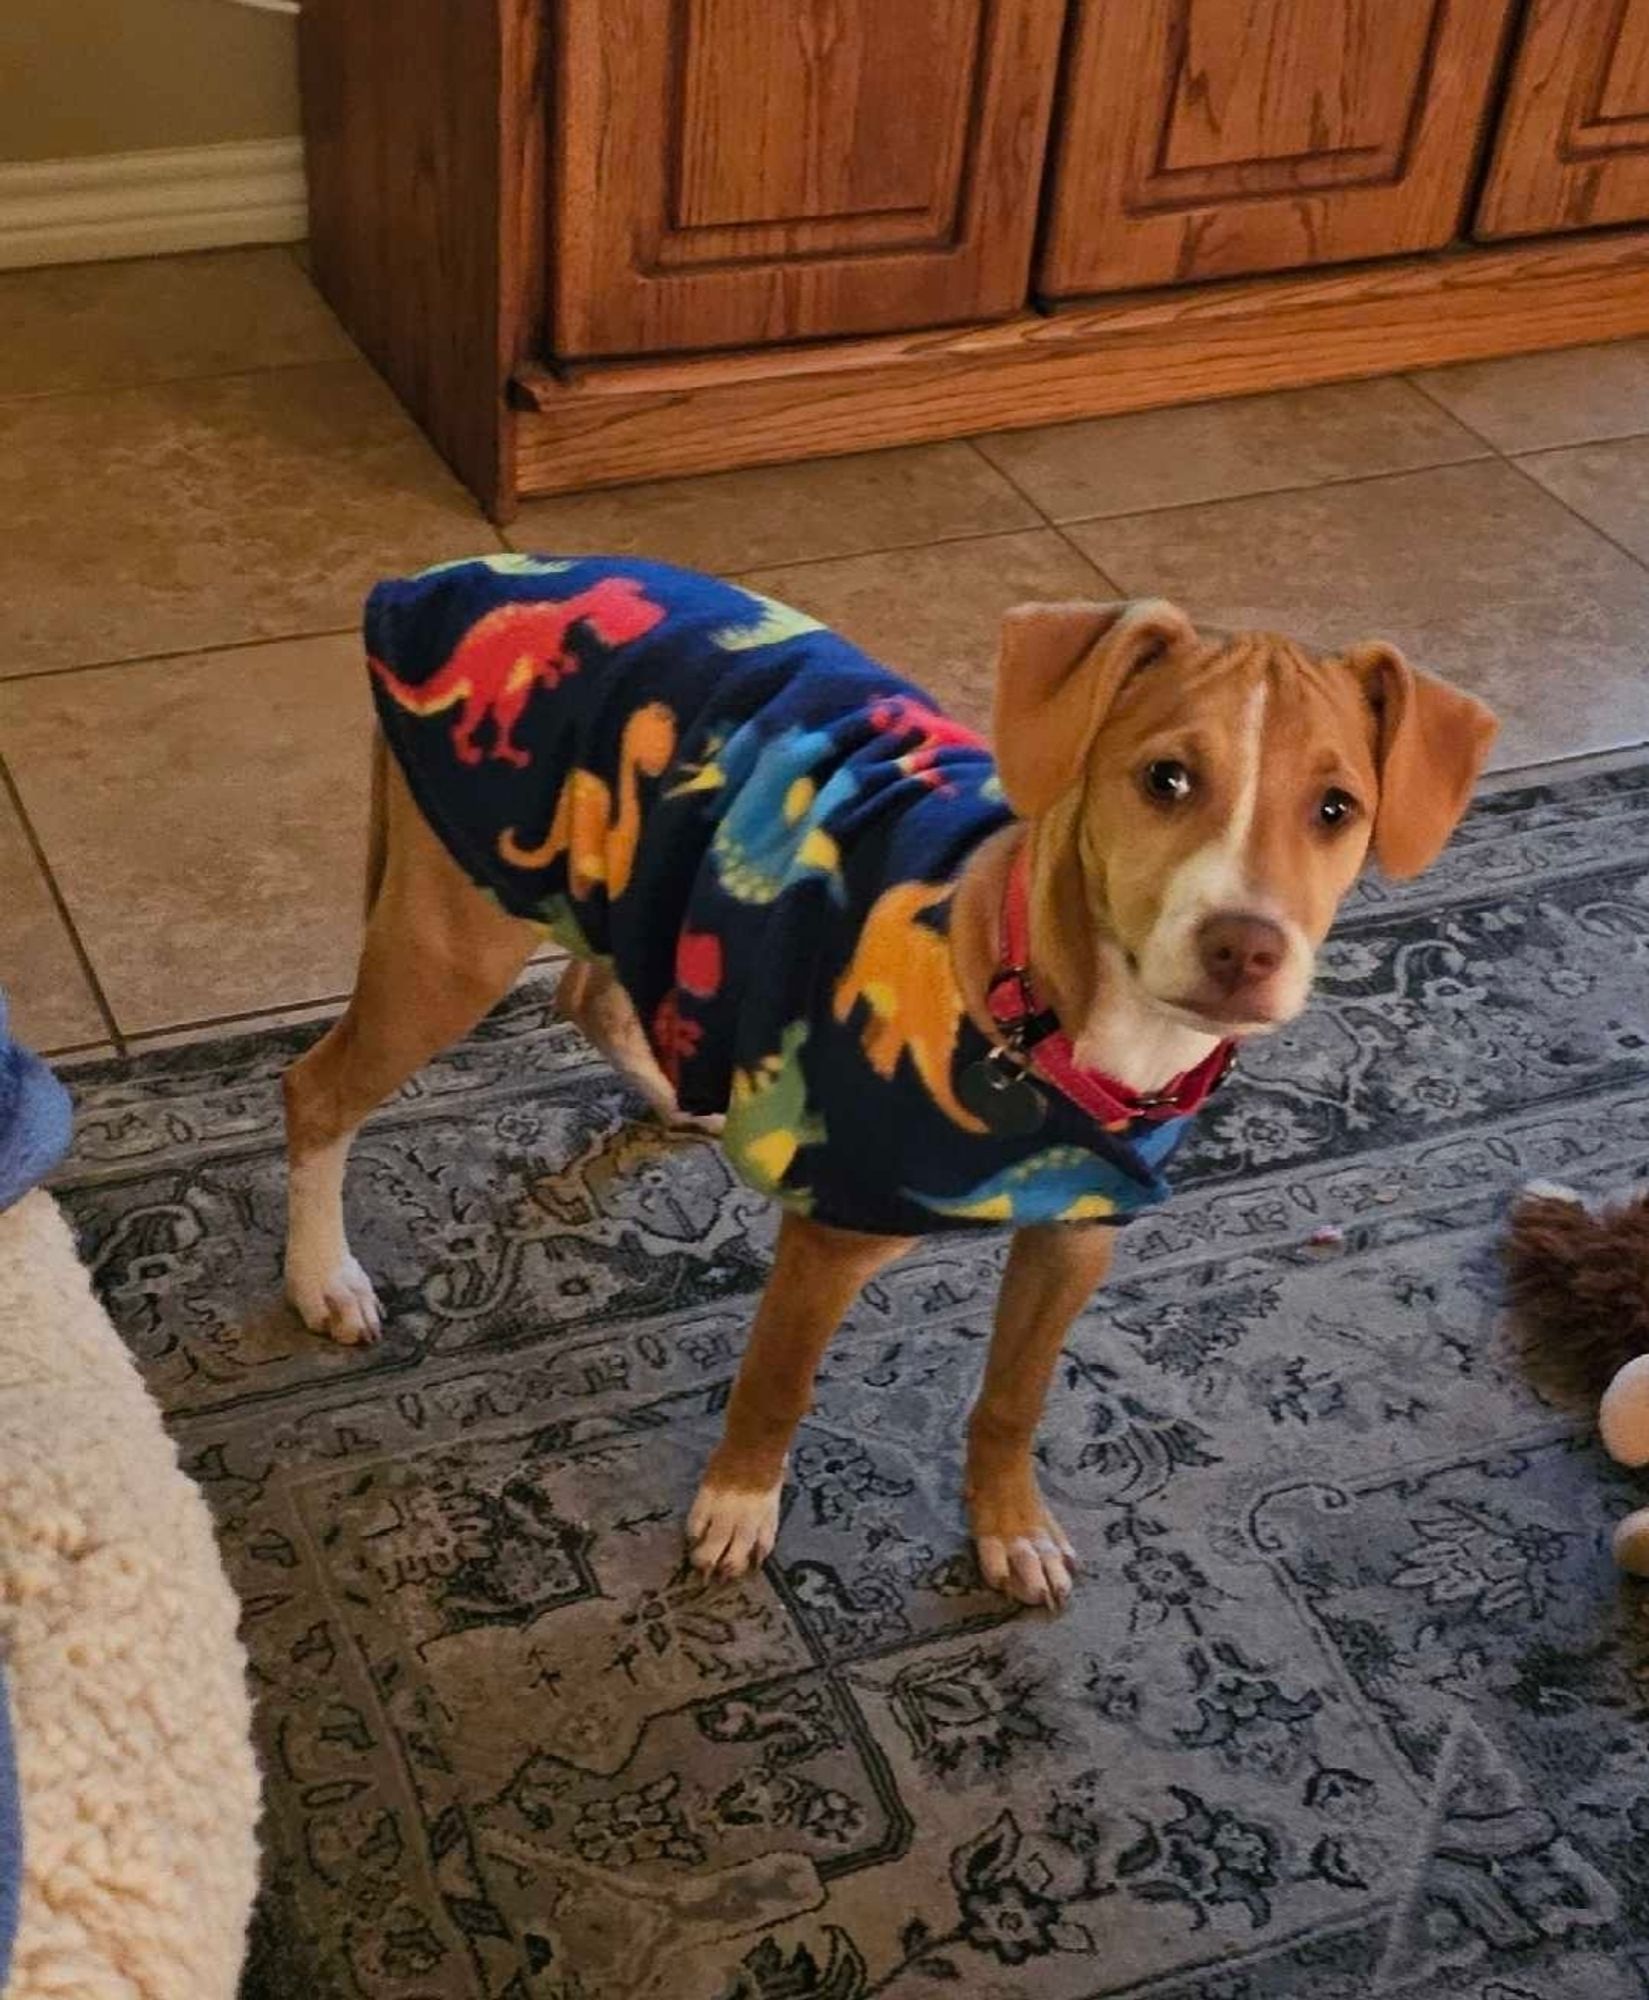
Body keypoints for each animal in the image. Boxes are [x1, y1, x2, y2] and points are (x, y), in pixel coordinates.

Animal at [284, 560, 1496, 1608]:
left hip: (621, 881)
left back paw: (673, 1085)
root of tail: (450, 578)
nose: (1245, 946)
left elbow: (1013, 1396)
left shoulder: (1076, 1238)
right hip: (456, 935)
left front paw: (1009, 1527)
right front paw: (737, 1508)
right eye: (1166, 779)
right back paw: (322, 1276)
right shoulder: (830, 1234)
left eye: (1335, 808)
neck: (1044, 1014)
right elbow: (777, 1380)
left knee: (585, 987)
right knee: (317, 1091)